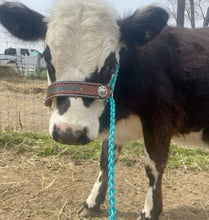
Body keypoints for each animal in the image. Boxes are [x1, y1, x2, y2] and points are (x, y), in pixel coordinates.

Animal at [0, 0, 208, 220]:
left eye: (109, 66)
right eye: (48, 61)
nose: (68, 132)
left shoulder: (159, 121)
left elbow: (153, 167)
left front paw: (149, 211)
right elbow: (105, 161)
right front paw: (92, 203)